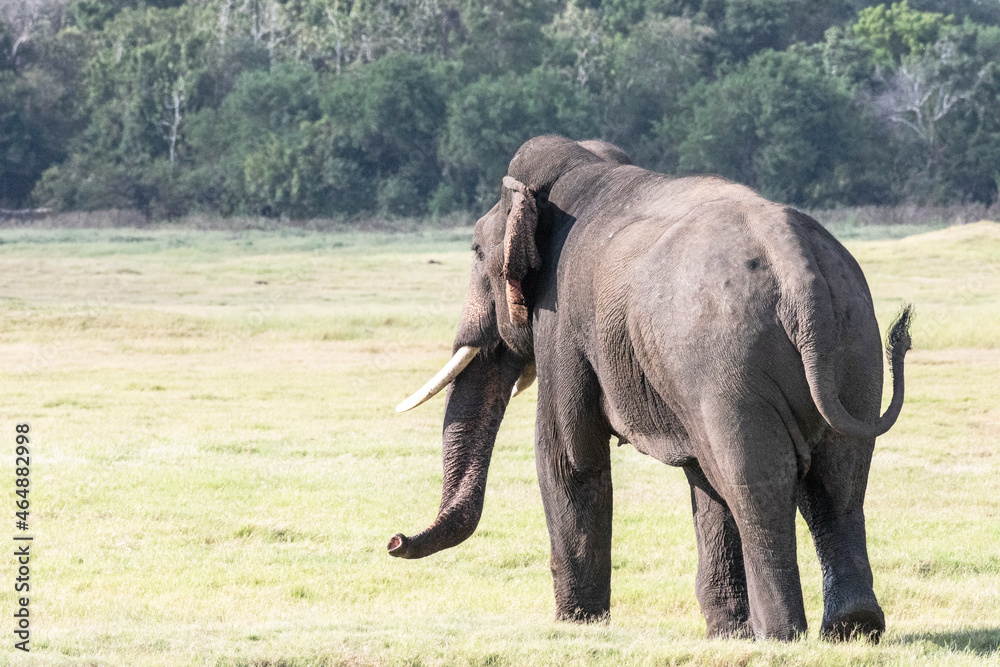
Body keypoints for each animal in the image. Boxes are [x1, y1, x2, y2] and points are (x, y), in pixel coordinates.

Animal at [387, 135, 911, 642]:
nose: (394, 541)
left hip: (728, 366)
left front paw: (576, 625)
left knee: (756, 481)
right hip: (853, 346)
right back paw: (853, 628)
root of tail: (796, 264)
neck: (583, 166)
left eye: (476, 251)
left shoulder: (563, 322)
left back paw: (780, 636)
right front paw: (726, 633)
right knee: (836, 481)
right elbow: (701, 479)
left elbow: (569, 458)